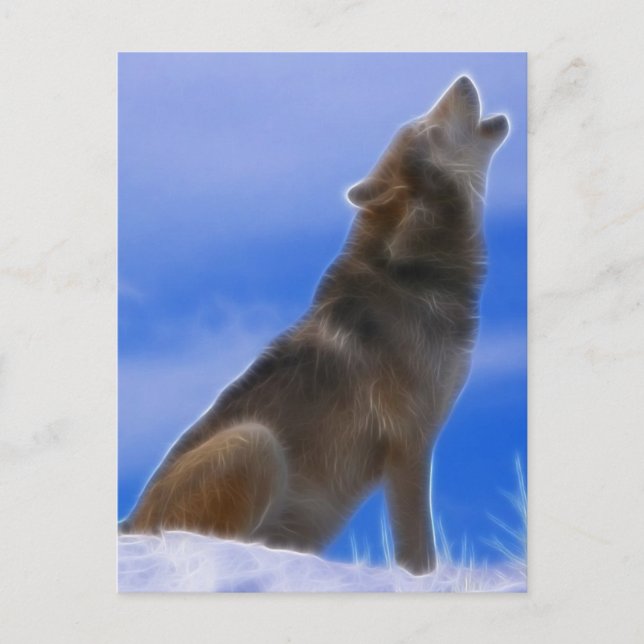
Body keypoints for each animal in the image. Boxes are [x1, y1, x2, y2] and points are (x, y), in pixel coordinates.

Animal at [121, 76, 509, 575]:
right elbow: (417, 545)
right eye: (429, 128)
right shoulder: (409, 445)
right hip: (255, 442)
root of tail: (129, 523)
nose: (462, 80)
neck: (417, 272)